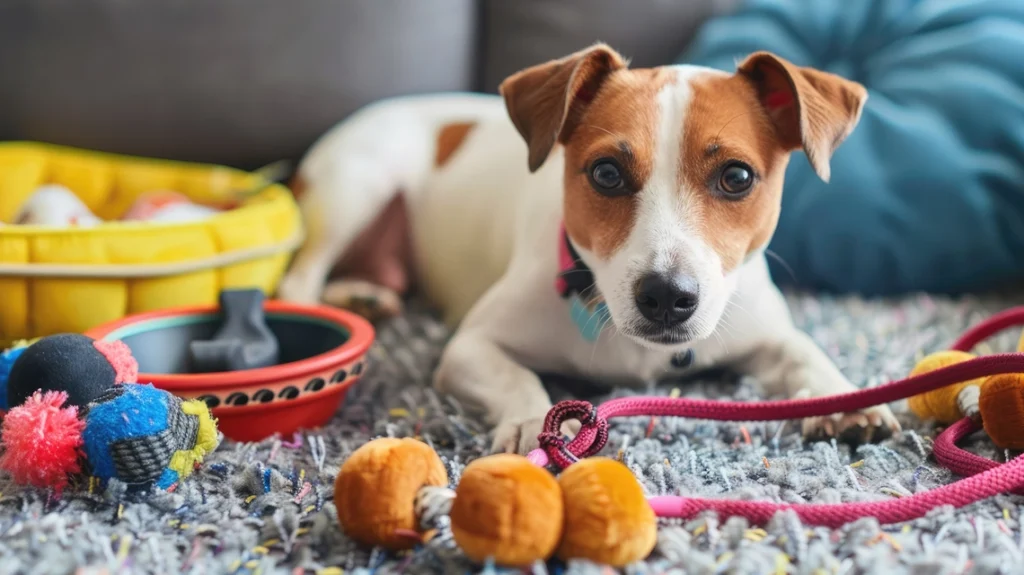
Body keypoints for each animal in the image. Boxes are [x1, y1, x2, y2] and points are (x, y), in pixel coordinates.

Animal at [276, 43, 901, 452]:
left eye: (737, 177)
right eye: (606, 173)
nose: (667, 297)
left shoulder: (766, 332)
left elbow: (806, 354)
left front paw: (849, 400)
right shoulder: (470, 347)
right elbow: (516, 378)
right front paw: (534, 421)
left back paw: (364, 294)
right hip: (356, 184)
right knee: (300, 275)